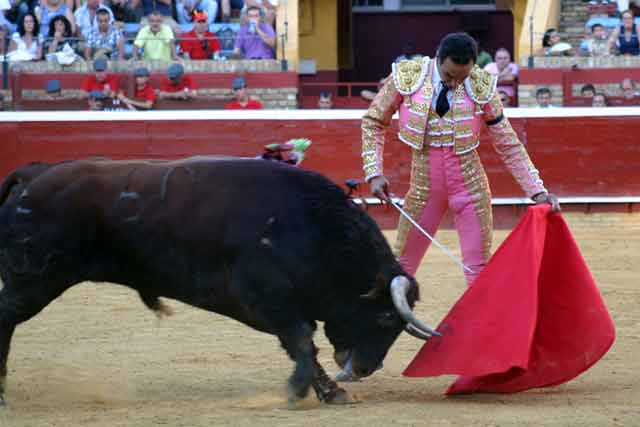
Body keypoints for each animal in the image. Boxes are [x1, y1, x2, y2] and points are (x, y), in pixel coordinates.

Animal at [0, 159, 436, 406]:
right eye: (386, 319)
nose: (365, 368)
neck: (312, 228)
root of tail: (33, 174)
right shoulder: (266, 297)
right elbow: (302, 343)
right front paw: (304, 393)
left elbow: (304, 347)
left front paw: (330, 392)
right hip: (33, 281)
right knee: (7, 320)